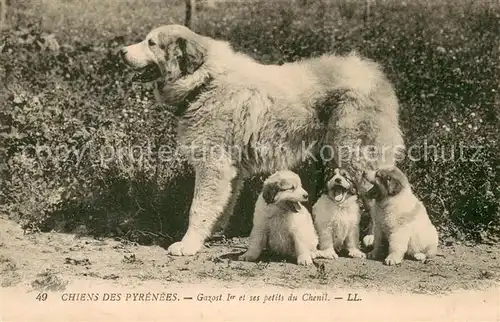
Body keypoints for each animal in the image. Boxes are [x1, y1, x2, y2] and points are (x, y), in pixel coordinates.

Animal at [121, 23, 406, 255]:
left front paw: (188, 244)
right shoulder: (230, 171)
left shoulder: (213, 166)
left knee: (374, 194)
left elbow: (198, 208)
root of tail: (376, 75)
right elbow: (221, 206)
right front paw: (211, 235)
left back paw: (371, 238)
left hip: (355, 157)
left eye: (151, 43)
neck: (204, 81)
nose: (121, 51)